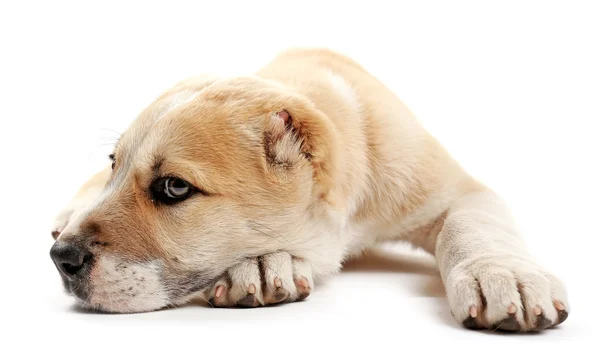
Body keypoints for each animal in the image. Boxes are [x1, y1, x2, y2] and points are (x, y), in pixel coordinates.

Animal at [50, 48, 568, 332]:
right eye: (115, 165)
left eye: (174, 187)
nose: (61, 259)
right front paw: (263, 265)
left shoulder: (461, 190)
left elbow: (474, 224)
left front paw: (503, 275)